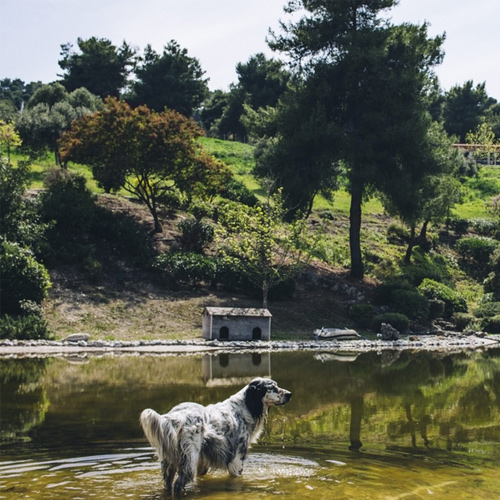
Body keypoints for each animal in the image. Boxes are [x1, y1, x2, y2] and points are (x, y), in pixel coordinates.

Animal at [139, 376, 292, 494]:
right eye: (272, 387)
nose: (289, 394)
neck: (246, 407)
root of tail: (177, 416)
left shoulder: (204, 462)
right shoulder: (237, 461)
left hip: (170, 462)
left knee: (168, 485)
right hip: (189, 460)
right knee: (178, 484)